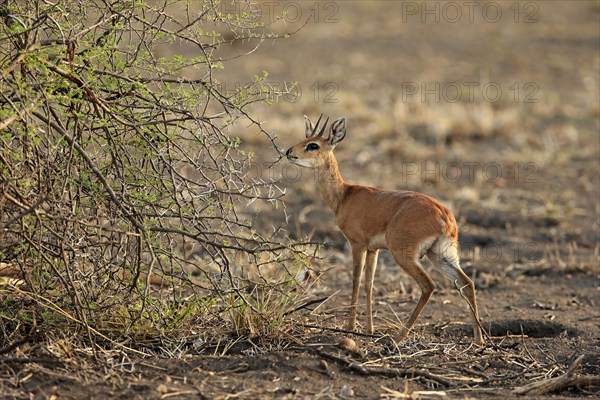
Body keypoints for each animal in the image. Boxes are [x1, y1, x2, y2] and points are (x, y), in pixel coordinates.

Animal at [284, 115, 482, 344]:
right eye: (305, 138)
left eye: (313, 145)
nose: (289, 151)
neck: (344, 195)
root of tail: (444, 214)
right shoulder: (374, 249)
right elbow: (369, 283)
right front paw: (369, 329)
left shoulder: (357, 244)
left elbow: (355, 280)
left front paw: (350, 327)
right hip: (440, 255)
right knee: (467, 283)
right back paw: (479, 340)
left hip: (404, 255)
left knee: (429, 285)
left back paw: (400, 335)